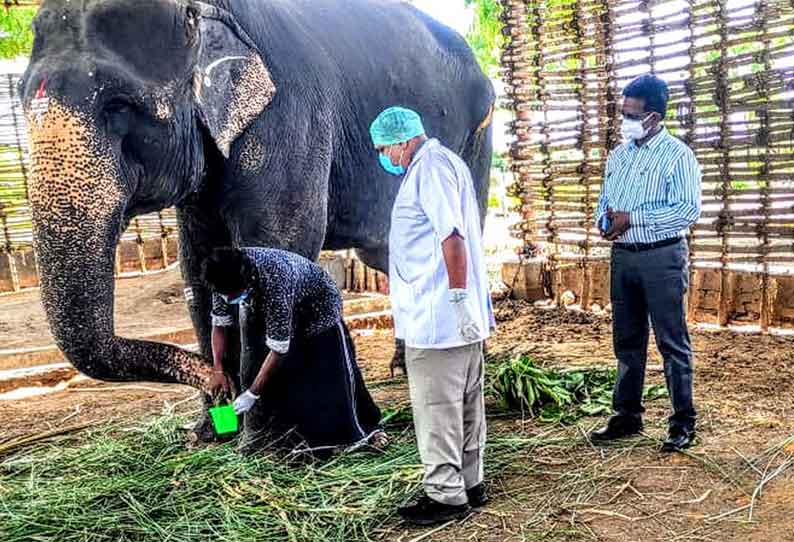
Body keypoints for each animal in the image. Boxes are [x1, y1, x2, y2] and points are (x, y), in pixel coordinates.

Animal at [21, 0, 492, 442]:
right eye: (23, 100)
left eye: (118, 105)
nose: (218, 385)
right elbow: (198, 268)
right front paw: (207, 433)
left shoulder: (288, 117)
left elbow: (275, 250)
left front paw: (260, 433)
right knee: (390, 256)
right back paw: (404, 365)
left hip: (475, 140)